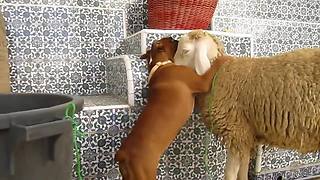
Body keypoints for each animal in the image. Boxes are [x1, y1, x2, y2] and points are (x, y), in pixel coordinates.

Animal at [116, 37, 219, 180]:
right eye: (170, 40)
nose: (176, 38)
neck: (160, 64)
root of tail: (123, 154)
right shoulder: (202, 81)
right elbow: (214, 67)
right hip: (145, 174)